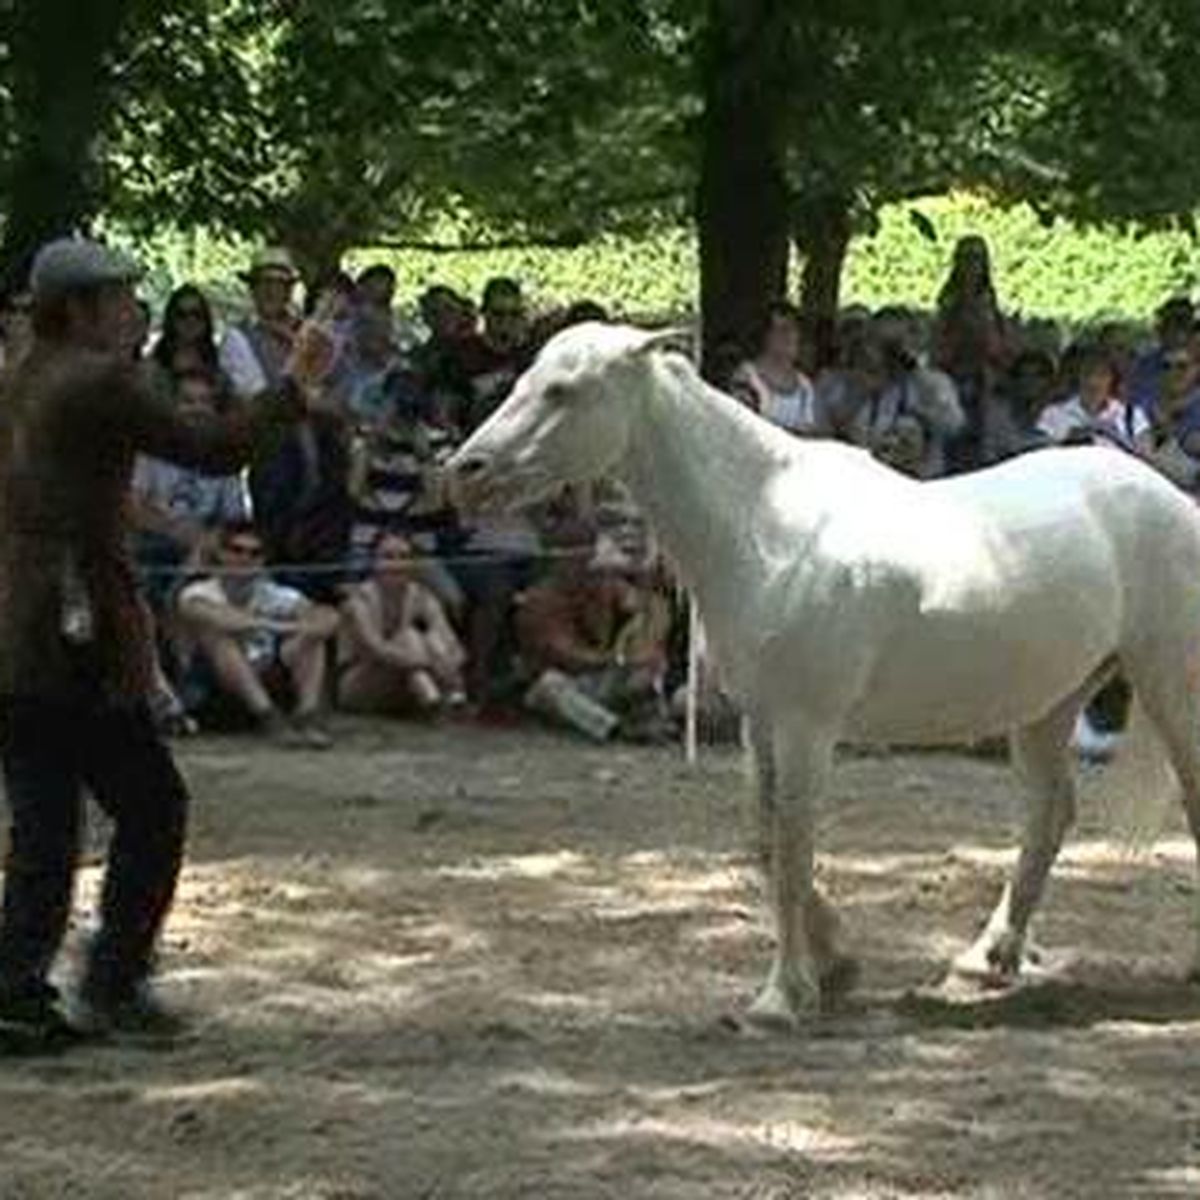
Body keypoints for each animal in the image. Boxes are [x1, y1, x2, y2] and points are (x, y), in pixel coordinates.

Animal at [446, 324, 1200, 1027]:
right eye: (524, 379)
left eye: (563, 391)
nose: (464, 470)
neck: (765, 530)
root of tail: (1170, 498)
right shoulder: (760, 722)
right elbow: (763, 838)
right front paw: (836, 965)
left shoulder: (806, 726)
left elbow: (792, 845)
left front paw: (782, 997)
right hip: (1049, 701)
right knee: (1048, 815)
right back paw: (987, 960)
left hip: (1170, 684)